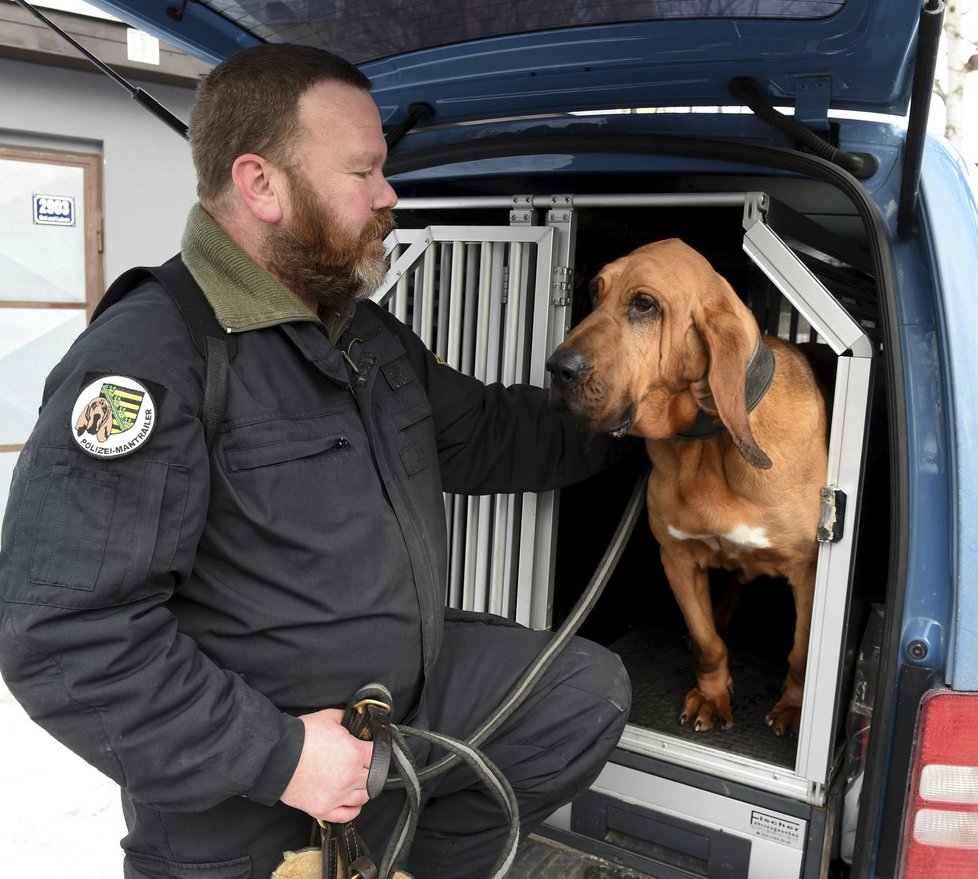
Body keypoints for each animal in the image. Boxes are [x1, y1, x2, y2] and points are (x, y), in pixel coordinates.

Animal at [544, 239, 828, 736]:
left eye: (644, 304)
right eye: (595, 292)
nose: (557, 368)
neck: (710, 444)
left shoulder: (807, 570)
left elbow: (799, 653)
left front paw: (794, 708)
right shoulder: (677, 558)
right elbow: (708, 640)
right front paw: (712, 696)